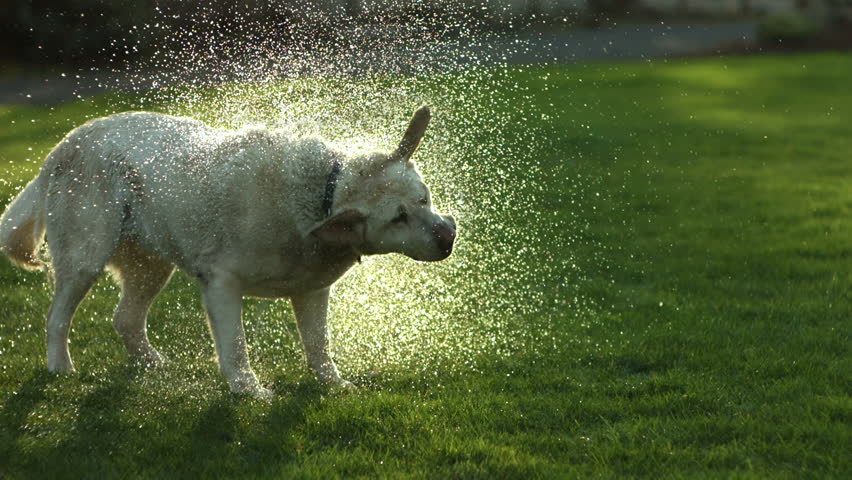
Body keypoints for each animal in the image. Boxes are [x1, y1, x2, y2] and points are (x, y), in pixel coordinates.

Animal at [0, 106, 456, 398]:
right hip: (85, 256)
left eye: (424, 199)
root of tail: (63, 144)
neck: (318, 198)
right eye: (398, 219)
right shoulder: (221, 283)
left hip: (152, 264)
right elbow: (236, 344)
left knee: (125, 318)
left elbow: (318, 345)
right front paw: (248, 391)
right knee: (57, 317)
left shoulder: (312, 290)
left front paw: (333, 385)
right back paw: (61, 368)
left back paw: (152, 363)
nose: (447, 236)